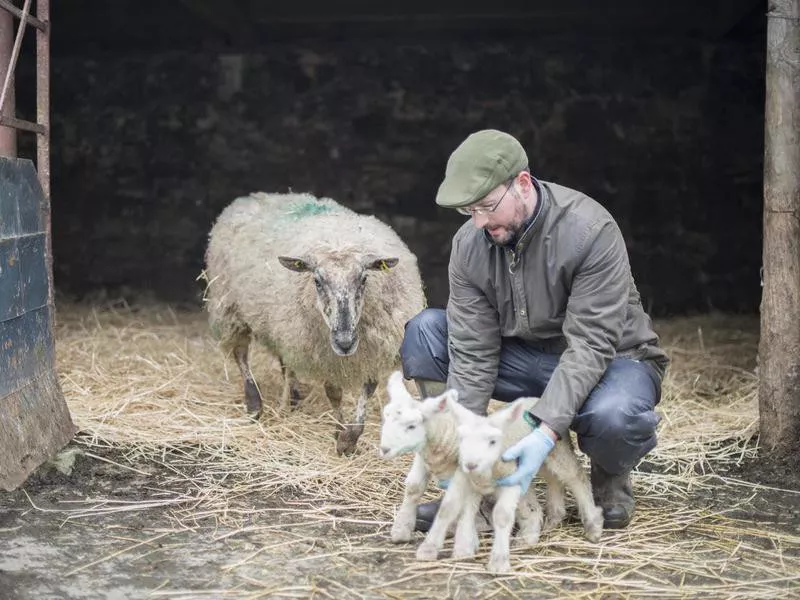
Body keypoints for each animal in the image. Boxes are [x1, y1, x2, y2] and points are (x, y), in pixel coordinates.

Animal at [203, 192, 428, 454]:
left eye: (363, 279)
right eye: (317, 281)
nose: (344, 342)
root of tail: (253, 196)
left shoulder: (372, 351)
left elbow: (368, 390)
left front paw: (350, 437)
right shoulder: (325, 354)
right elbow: (334, 393)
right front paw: (341, 434)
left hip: (284, 328)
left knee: (285, 361)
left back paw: (293, 397)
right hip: (229, 307)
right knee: (241, 354)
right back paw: (254, 404)